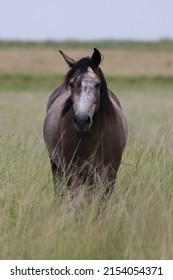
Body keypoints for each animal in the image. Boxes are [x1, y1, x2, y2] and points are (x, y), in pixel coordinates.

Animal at [43, 48, 127, 199]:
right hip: (56, 166)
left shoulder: (109, 175)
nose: (82, 120)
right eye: (71, 84)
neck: (94, 137)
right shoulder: (74, 173)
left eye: (97, 84)